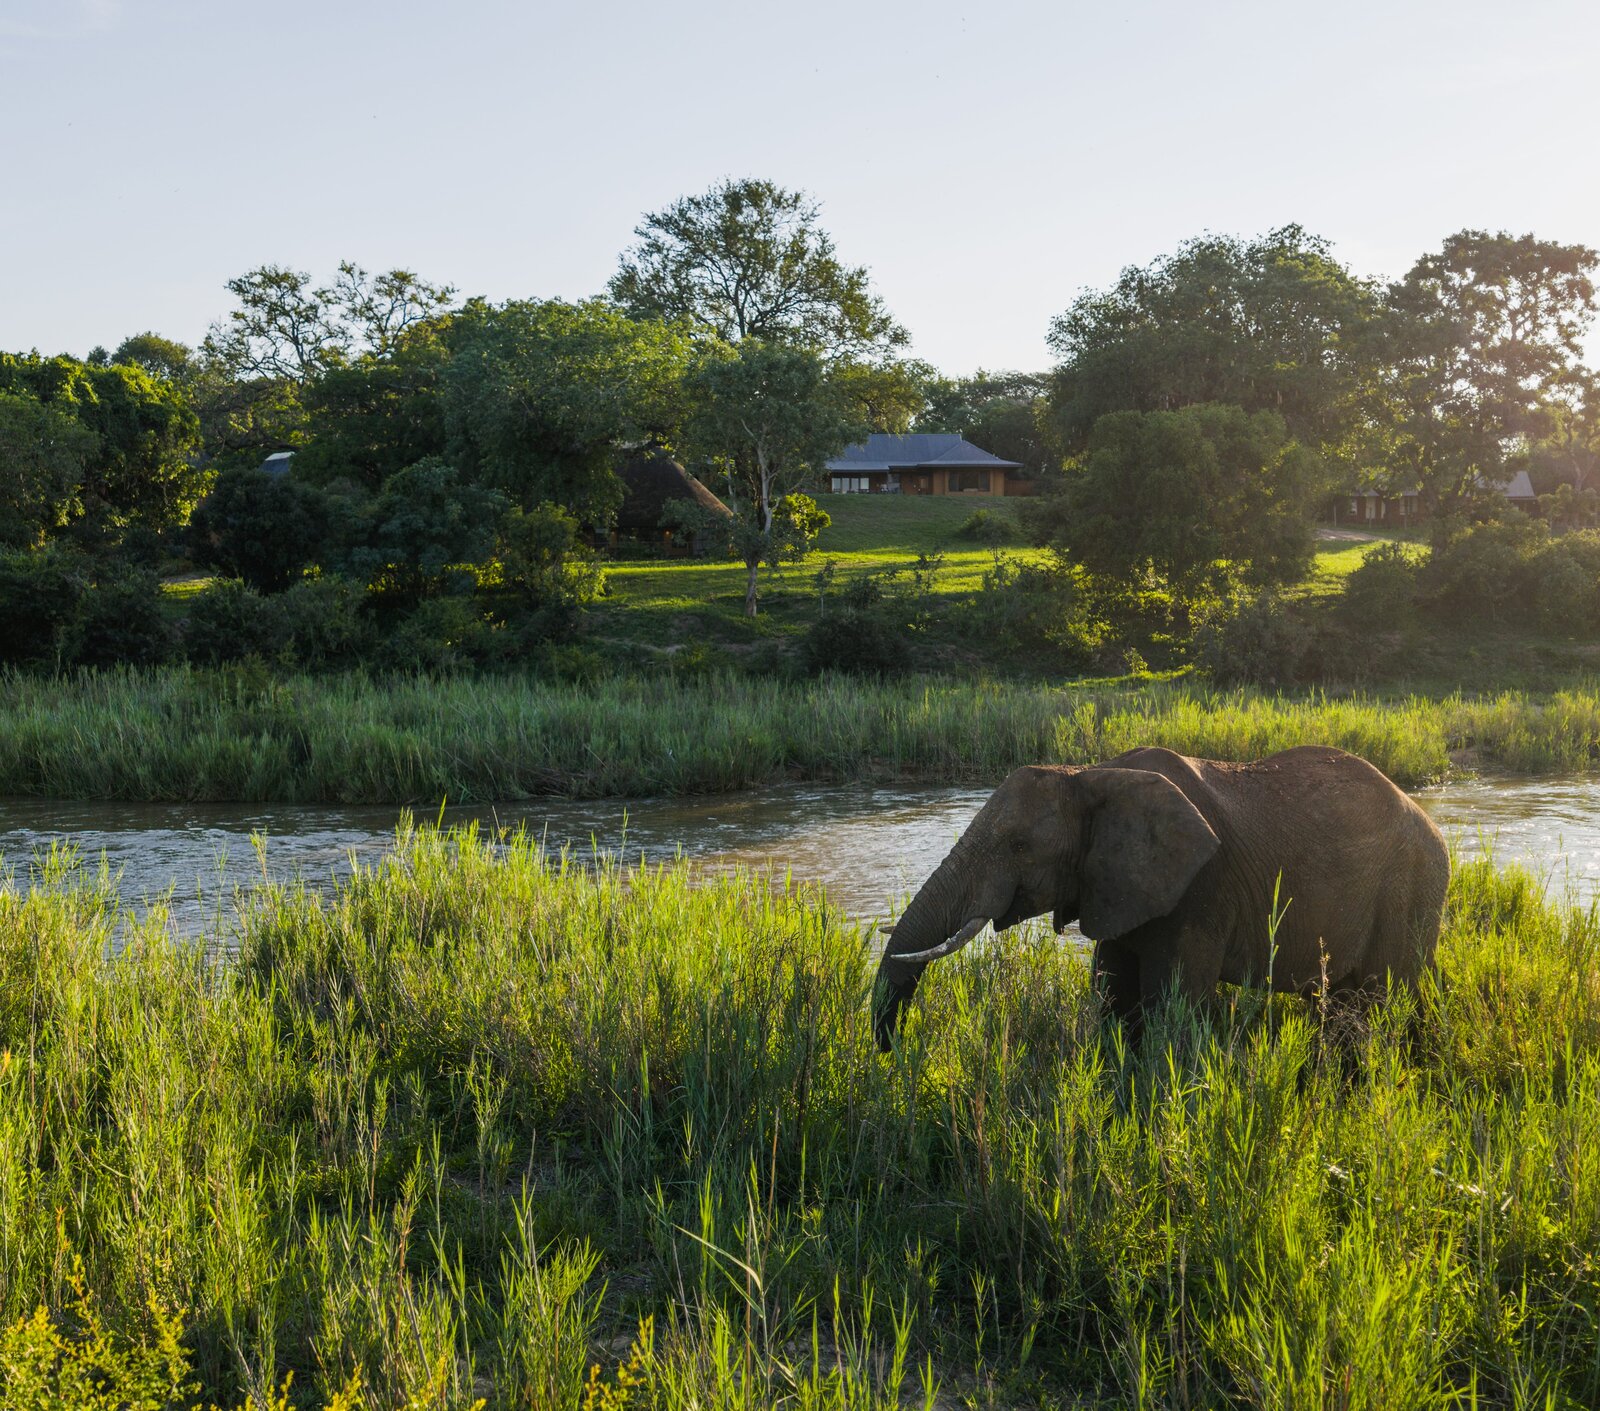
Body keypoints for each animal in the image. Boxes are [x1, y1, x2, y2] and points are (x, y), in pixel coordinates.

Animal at [871, 745, 1449, 1050]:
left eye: (1018, 846)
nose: (895, 1053)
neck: (1091, 774)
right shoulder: (1117, 886)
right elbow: (1112, 994)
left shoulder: (1200, 888)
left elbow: (1172, 1002)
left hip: (1410, 889)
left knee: (1379, 1000)